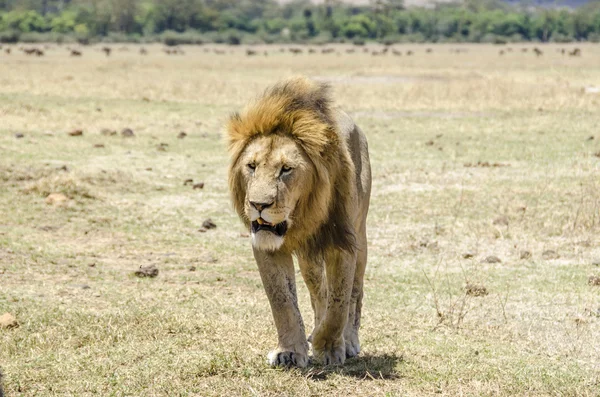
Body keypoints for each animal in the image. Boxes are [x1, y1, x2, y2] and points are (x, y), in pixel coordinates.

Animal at [227, 76, 372, 366]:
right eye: (251, 166)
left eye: (286, 169)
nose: (258, 205)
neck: (301, 217)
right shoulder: (267, 246)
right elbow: (282, 301)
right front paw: (290, 352)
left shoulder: (343, 243)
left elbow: (339, 302)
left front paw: (329, 348)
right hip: (310, 261)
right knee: (319, 291)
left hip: (361, 238)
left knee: (355, 292)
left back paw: (349, 340)